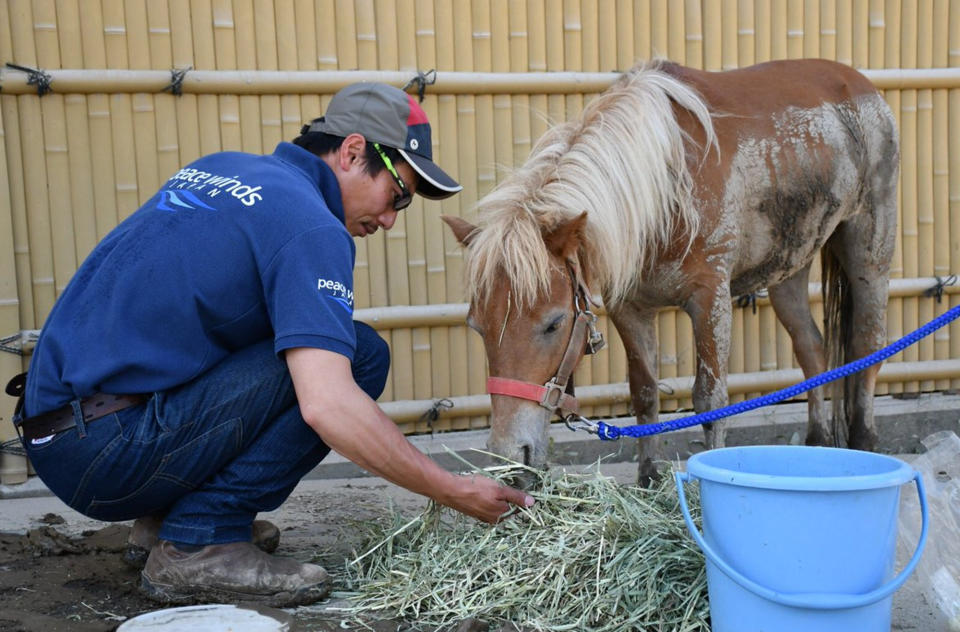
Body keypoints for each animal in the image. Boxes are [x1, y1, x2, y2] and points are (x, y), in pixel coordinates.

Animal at [446, 60, 896, 484]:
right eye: (478, 327)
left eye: (554, 323)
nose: (510, 462)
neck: (663, 191)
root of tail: (858, 83)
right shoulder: (630, 309)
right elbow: (644, 392)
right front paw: (649, 477)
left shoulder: (710, 300)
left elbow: (710, 398)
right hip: (790, 266)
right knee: (812, 349)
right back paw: (818, 443)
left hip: (868, 250)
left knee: (867, 346)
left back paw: (865, 441)